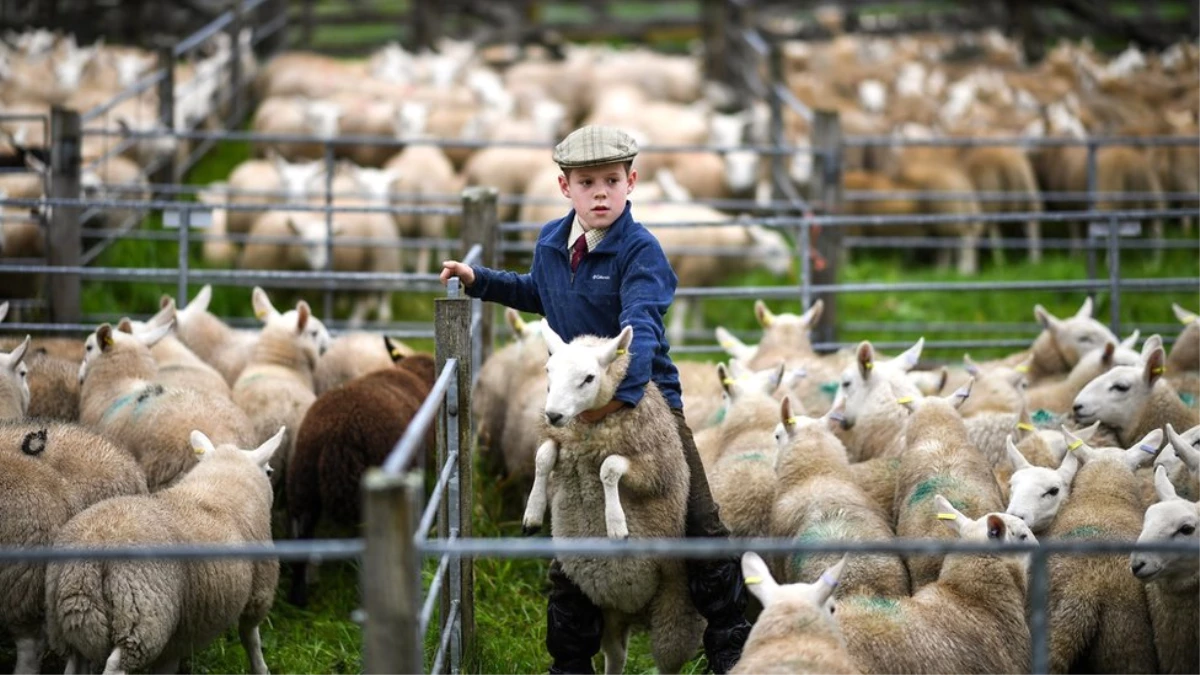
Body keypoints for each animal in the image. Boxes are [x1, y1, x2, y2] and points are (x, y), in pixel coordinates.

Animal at [44, 425, 283, 672]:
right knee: (116, 664)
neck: (220, 483)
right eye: (269, 471)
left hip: (69, 620)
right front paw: (261, 669)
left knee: (75, 660)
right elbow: (251, 638)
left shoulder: (178, 636)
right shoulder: (259, 592)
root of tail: (91, 554)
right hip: (141, 617)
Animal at [523, 324, 700, 667]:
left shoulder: (652, 468)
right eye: (549, 370)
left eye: (589, 378)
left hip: (674, 613)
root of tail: (635, 612)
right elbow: (543, 456)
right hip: (607, 613)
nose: (553, 415)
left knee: (668, 662)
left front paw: (616, 524)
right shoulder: (558, 439)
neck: (587, 427)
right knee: (616, 656)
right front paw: (533, 512)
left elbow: (609, 467)